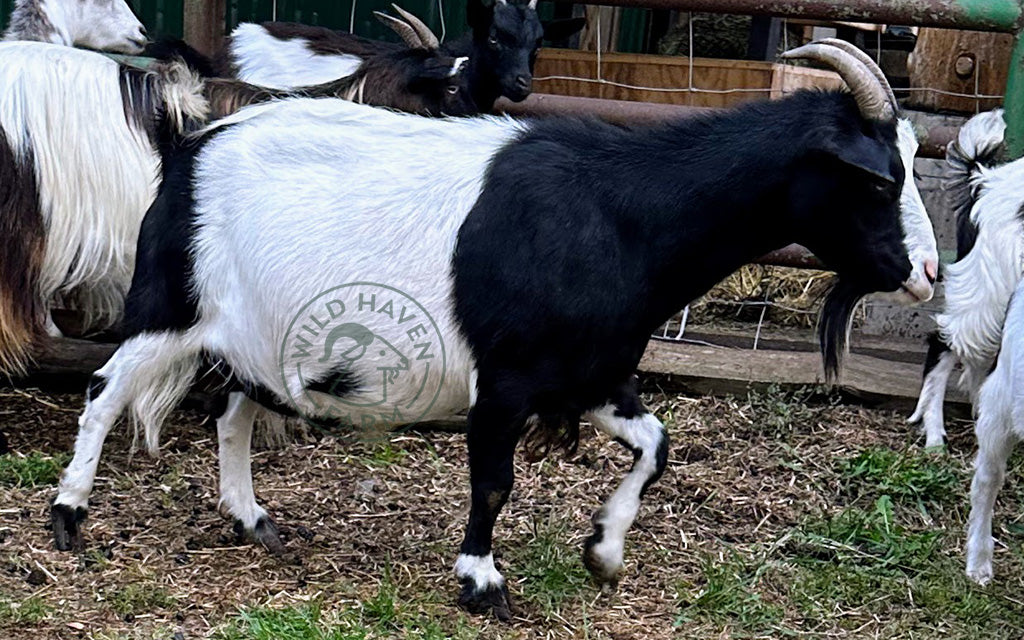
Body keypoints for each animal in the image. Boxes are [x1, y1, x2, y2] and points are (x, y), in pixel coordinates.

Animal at [51, 39, 937, 618]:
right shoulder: (506, 376)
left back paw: (255, 521)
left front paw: (604, 552)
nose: (929, 272)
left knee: (232, 408)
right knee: (104, 391)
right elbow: (494, 480)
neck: (622, 214)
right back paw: (69, 518)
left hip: (257, 335)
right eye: (879, 178)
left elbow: (658, 447)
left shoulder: (594, 371)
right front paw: (482, 582)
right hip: (170, 306)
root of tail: (191, 143)